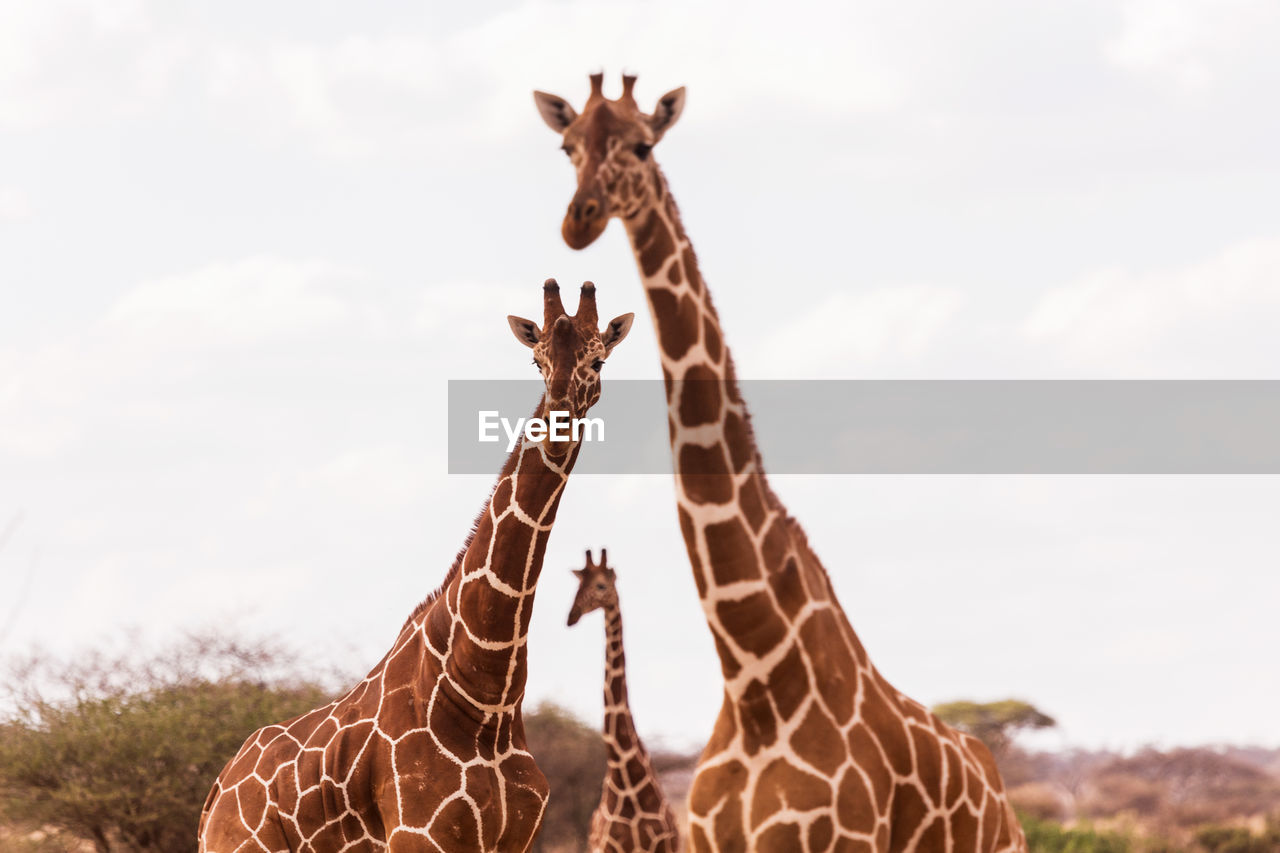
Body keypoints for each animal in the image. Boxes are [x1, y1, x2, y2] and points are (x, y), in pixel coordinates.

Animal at [197, 275, 632, 845]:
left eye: (598, 360)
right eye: (536, 359)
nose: (558, 419)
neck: (486, 697)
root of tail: (217, 794)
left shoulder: (514, 837)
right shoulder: (421, 833)